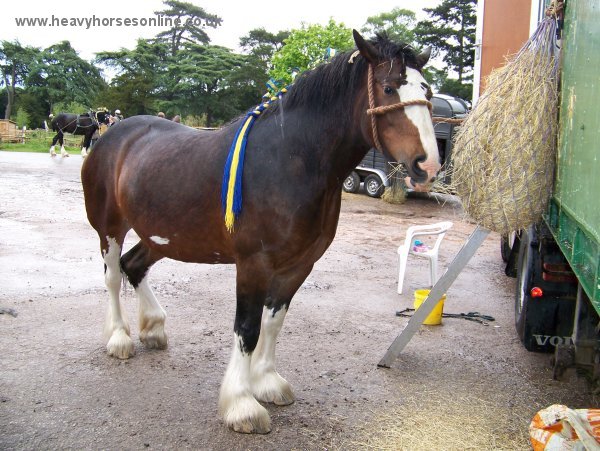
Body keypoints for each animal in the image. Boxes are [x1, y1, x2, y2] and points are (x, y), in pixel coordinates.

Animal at [81, 31, 440, 434]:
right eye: (389, 87)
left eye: (427, 92)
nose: (428, 165)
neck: (290, 159)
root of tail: (113, 133)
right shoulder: (254, 263)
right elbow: (248, 328)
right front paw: (241, 405)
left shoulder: (298, 265)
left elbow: (273, 322)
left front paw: (266, 381)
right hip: (110, 227)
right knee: (113, 275)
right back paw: (119, 337)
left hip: (161, 234)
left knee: (134, 266)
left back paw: (154, 328)